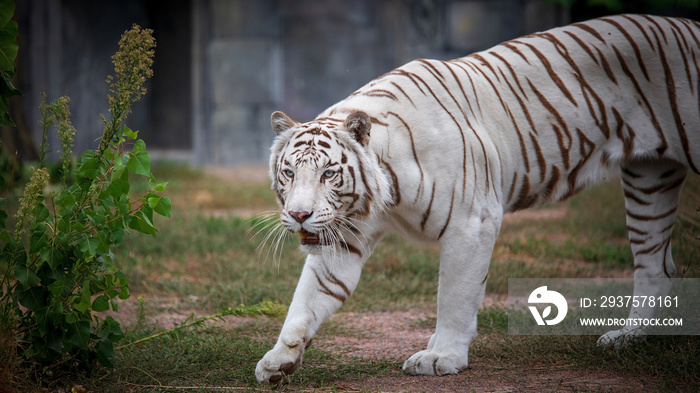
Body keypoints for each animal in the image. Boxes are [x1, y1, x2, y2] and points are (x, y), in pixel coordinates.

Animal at [256, 14, 700, 382]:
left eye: (329, 173)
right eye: (289, 172)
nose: (298, 214)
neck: (383, 191)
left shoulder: (471, 222)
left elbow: (454, 295)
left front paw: (442, 357)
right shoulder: (344, 236)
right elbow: (307, 299)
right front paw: (279, 359)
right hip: (649, 178)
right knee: (656, 265)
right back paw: (629, 337)